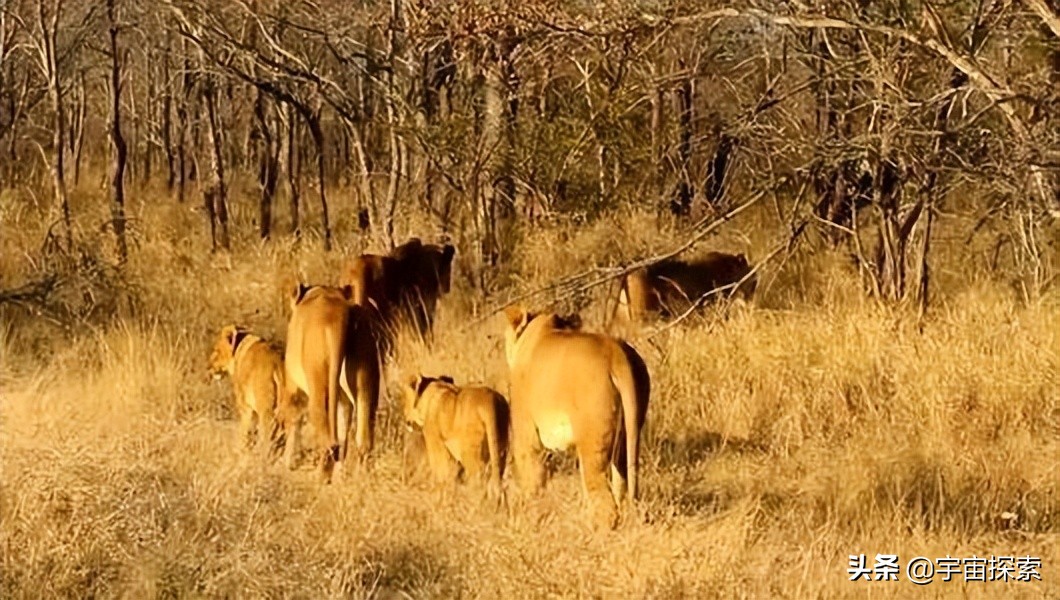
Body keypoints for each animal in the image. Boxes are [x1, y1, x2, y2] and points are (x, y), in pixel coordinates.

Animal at [207, 328, 290, 460]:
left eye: (216, 350)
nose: (208, 367)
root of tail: (278, 365)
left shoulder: (246, 407)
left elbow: (245, 431)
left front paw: (240, 451)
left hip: (266, 411)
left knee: (267, 435)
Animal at [279, 284, 383, 485]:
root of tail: (340, 315)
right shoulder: (344, 398)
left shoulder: (293, 388)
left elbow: (293, 419)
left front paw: (287, 462)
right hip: (366, 382)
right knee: (362, 436)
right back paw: (360, 477)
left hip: (318, 382)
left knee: (328, 437)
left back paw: (320, 476)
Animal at [502, 305, 648, 532]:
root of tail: (617, 355)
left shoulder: (526, 433)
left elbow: (533, 478)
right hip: (627, 437)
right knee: (622, 485)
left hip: (592, 442)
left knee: (604, 500)